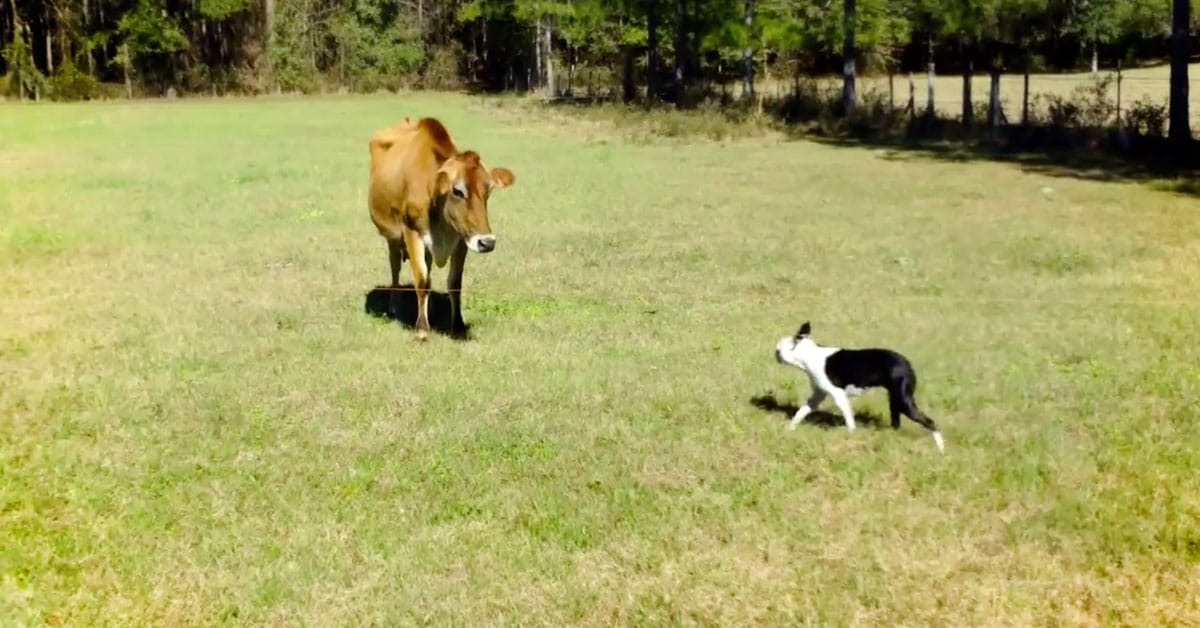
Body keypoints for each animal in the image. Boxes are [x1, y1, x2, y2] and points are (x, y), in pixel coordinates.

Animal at [367, 119, 513, 343]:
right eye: (458, 190)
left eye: (488, 190)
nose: (487, 242)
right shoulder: (412, 232)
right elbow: (421, 279)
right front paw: (421, 329)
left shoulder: (462, 239)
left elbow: (454, 282)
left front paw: (458, 325)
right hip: (392, 237)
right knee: (395, 266)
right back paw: (393, 305)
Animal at [772, 324, 940, 451]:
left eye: (778, 349)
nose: (774, 353)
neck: (809, 355)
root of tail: (907, 364)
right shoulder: (817, 395)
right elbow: (802, 411)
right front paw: (790, 428)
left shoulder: (838, 395)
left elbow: (848, 418)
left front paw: (851, 435)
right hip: (895, 401)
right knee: (896, 422)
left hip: (903, 401)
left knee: (931, 423)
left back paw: (940, 450)